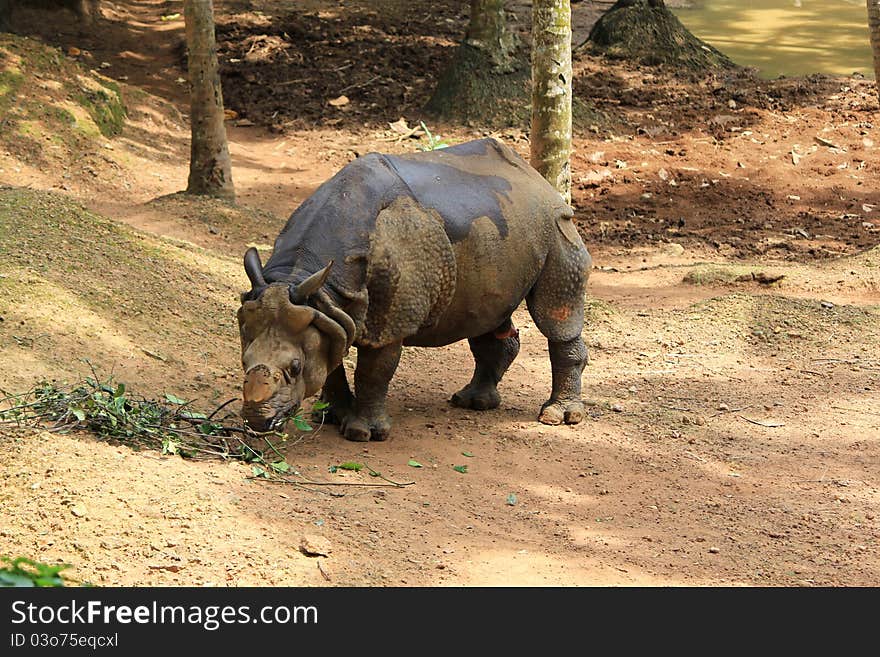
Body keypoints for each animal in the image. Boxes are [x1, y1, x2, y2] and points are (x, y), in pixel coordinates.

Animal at [237, 138, 592, 440]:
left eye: (294, 368)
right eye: (243, 361)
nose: (258, 421)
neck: (312, 282)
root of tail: (535, 177)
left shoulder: (388, 320)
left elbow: (373, 371)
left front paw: (363, 434)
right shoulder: (327, 312)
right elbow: (331, 363)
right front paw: (331, 417)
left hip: (555, 223)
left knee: (555, 316)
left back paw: (557, 417)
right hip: (502, 228)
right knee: (485, 314)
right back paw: (473, 402)